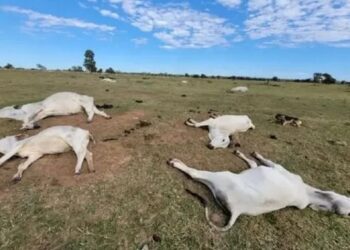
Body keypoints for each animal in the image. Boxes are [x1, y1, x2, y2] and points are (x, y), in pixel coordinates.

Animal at [167, 150, 350, 230]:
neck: (307, 193)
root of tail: (238, 211)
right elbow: (253, 163)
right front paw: (242, 153)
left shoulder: (276, 167)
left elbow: (263, 160)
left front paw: (255, 154)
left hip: (221, 176)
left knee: (194, 174)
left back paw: (177, 163)